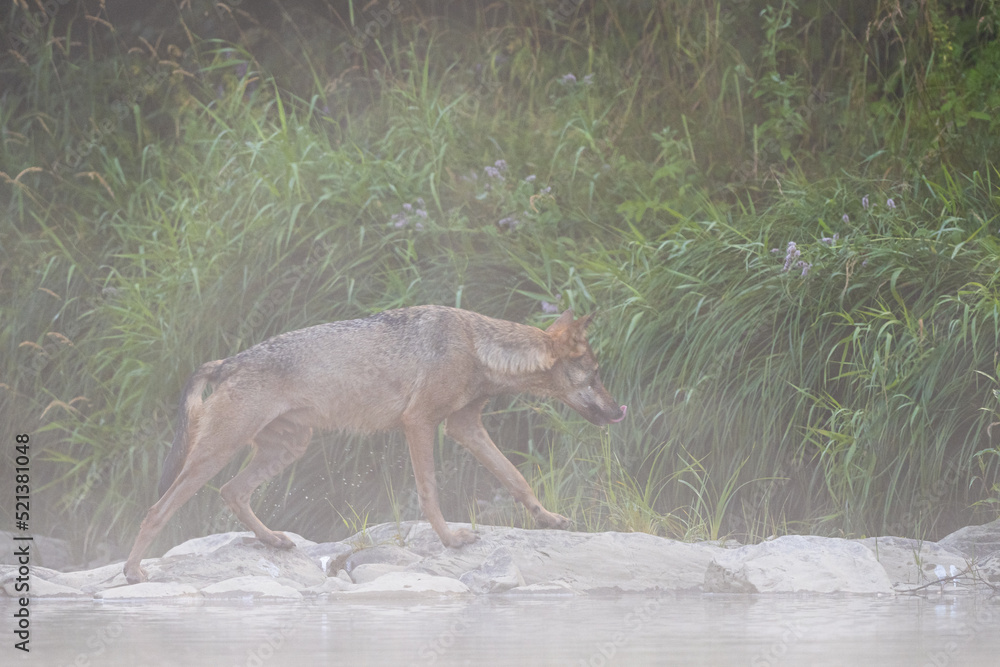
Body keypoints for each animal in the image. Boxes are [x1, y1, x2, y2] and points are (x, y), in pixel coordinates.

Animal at [123, 305, 625, 584]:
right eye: (596, 374)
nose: (620, 411)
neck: (479, 347)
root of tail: (227, 361)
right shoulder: (420, 423)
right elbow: (430, 492)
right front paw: (451, 539)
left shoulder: (464, 426)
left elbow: (517, 479)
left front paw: (551, 519)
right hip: (215, 455)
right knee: (155, 511)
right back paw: (132, 572)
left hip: (286, 448)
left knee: (233, 492)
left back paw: (273, 541)